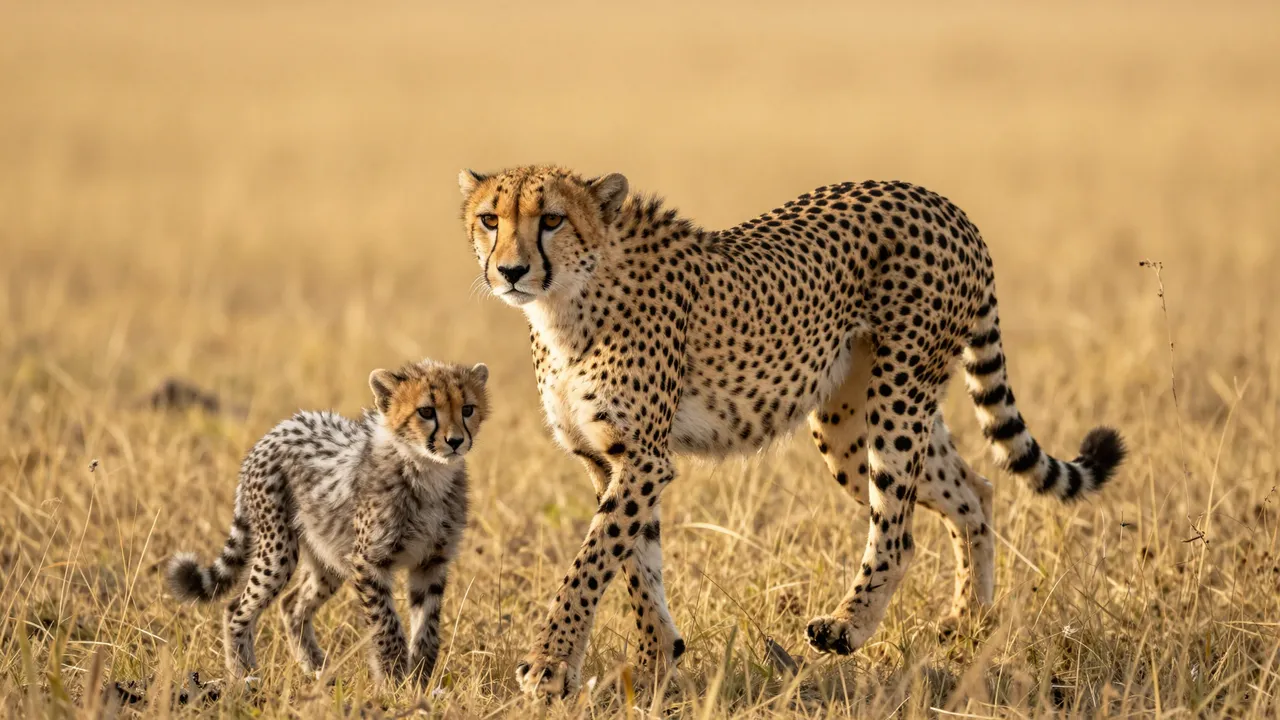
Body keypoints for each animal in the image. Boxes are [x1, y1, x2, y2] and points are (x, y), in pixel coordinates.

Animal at [166, 358, 490, 689]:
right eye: (426, 411)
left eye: (467, 409)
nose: (455, 441)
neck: (427, 470)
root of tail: (276, 431)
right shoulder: (368, 562)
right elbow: (386, 625)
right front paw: (393, 682)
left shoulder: (431, 562)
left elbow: (428, 628)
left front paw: (420, 682)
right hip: (279, 551)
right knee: (236, 608)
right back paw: (243, 676)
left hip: (329, 554)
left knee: (292, 605)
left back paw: (316, 669)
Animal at [457, 165, 1126, 698]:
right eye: (490, 219)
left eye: (551, 220)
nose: (510, 270)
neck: (567, 302)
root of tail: (938, 200)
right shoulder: (609, 459)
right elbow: (634, 564)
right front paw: (654, 665)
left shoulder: (644, 458)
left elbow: (592, 561)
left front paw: (548, 664)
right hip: (847, 422)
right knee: (974, 490)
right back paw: (971, 625)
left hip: (897, 394)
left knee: (900, 529)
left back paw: (848, 626)